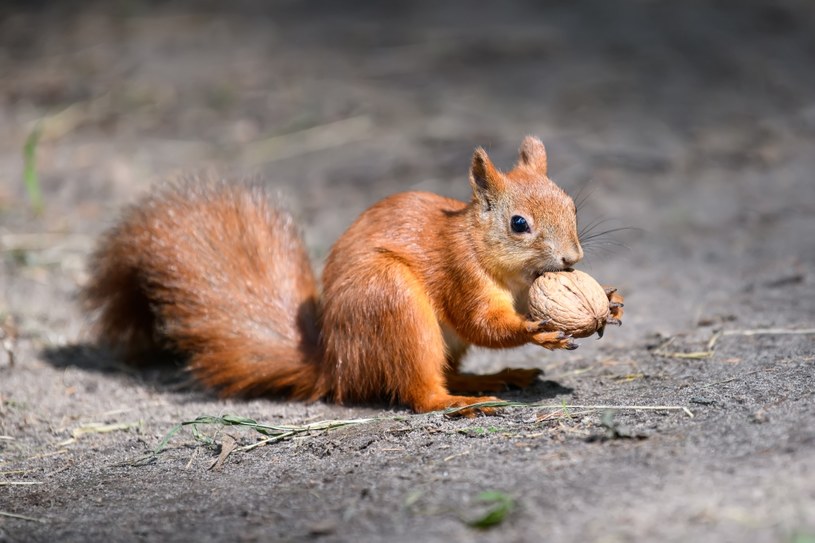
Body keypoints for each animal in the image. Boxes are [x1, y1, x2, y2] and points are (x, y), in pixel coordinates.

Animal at [83, 137, 620, 416]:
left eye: (572, 205)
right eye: (518, 224)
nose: (572, 258)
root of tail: (336, 365)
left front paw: (609, 301)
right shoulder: (460, 272)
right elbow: (482, 323)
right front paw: (535, 331)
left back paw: (497, 377)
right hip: (392, 302)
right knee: (419, 392)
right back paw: (463, 400)